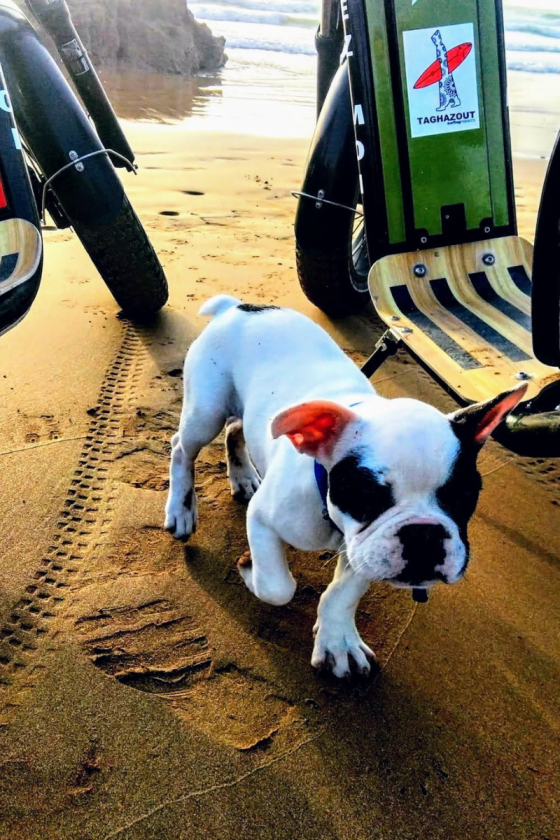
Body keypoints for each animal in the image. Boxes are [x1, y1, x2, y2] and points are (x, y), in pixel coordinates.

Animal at [164, 298, 528, 680]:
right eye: (366, 494)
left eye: (464, 496)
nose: (424, 533)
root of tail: (238, 306)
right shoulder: (264, 520)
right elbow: (278, 587)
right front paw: (250, 571)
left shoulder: (364, 549)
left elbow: (342, 594)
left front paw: (338, 642)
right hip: (205, 412)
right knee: (182, 448)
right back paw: (181, 509)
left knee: (236, 428)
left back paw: (243, 475)